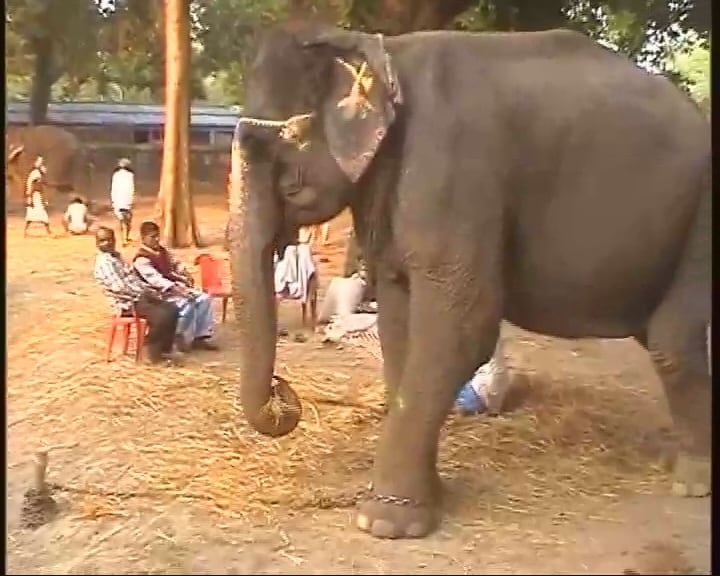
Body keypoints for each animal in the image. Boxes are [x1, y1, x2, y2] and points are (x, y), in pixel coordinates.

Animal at [228, 24, 712, 540]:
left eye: (274, 147)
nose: (284, 393)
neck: (380, 50)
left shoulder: (453, 170)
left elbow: (460, 329)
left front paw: (384, 522)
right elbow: (399, 327)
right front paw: (427, 498)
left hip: (704, 211)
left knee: (671, 344)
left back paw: (692, 481)